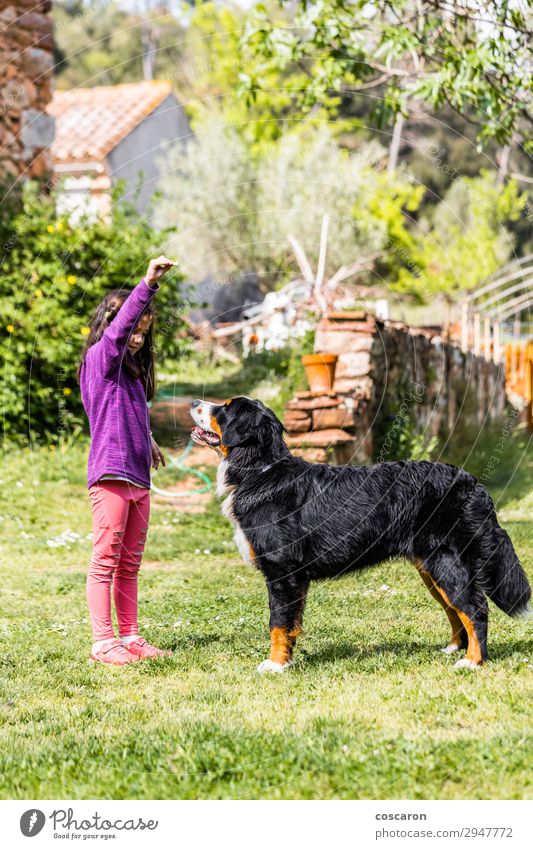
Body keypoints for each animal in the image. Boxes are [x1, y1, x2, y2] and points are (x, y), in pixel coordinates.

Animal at [189, 394, 528, 672]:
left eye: (225, 408)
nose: (193, 402)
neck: (261, 471)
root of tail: (472, 482)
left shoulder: (282, 572)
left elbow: (278, 623)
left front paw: (275, 665)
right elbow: (291, 624)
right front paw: (287, 660)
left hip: (446, 561)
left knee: (475, 609)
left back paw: (472, 661)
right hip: (431, 568)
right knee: (455, 610)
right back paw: (454, 649)